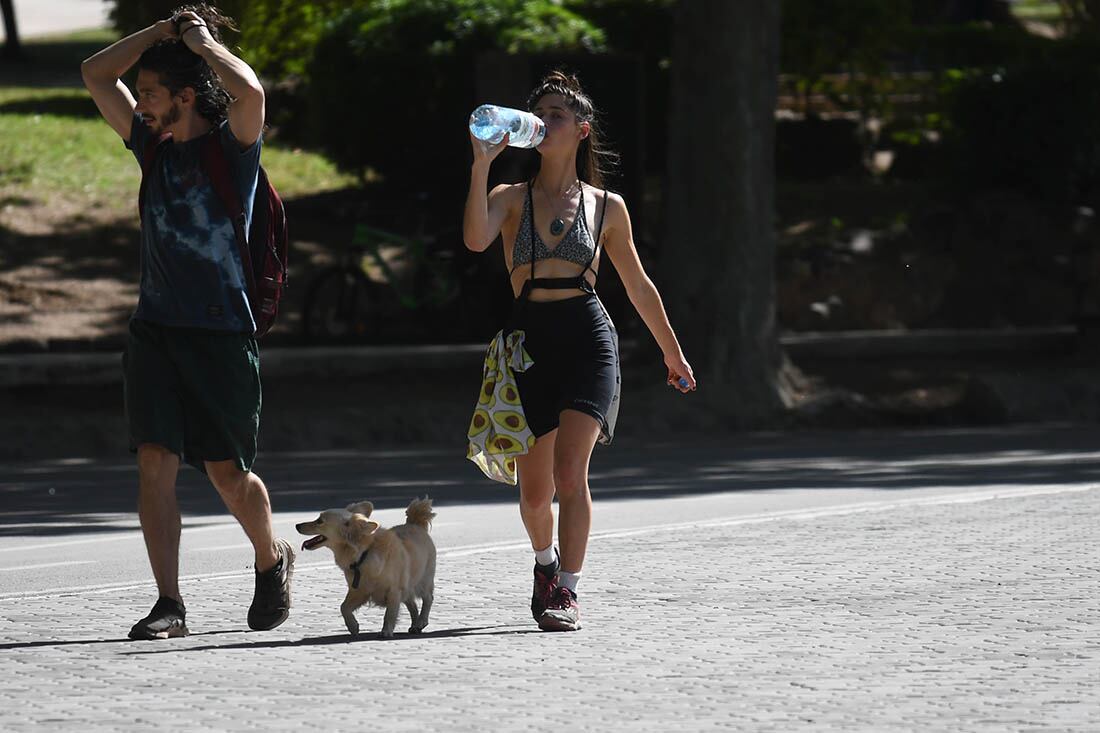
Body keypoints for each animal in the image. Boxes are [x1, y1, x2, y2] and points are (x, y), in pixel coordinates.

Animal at [301, 497, 437, 633]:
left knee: (428, 598)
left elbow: (390, 614)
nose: (297, 525)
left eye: (319, 521)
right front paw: (353, 626)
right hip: (407, 588)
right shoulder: (359, 591)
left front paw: (386, 632)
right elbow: (343, 607)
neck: (363, 553)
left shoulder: (394, 591)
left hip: (423, 582)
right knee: (412, 604)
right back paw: (415, 625)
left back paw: (421, 621)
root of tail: (414, 524)